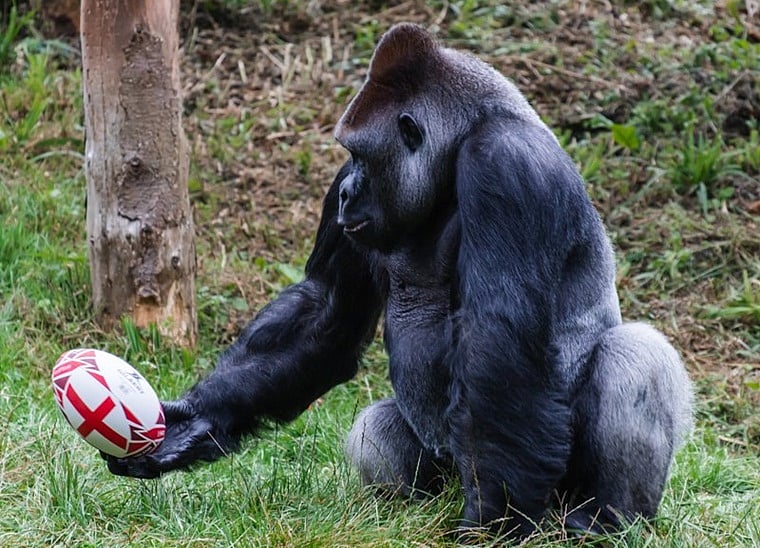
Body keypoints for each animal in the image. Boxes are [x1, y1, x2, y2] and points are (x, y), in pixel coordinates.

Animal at [104, 24, 693, 540]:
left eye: (360, 154)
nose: (347, 193)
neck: (463, 137)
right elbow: (326, 313)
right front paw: (197, 422)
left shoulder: (507, 163)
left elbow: (497, 342)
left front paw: (494, 521)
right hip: (444, 474)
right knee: (377, 428)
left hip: (554, 492)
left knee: (634, 356)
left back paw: (603, 519)